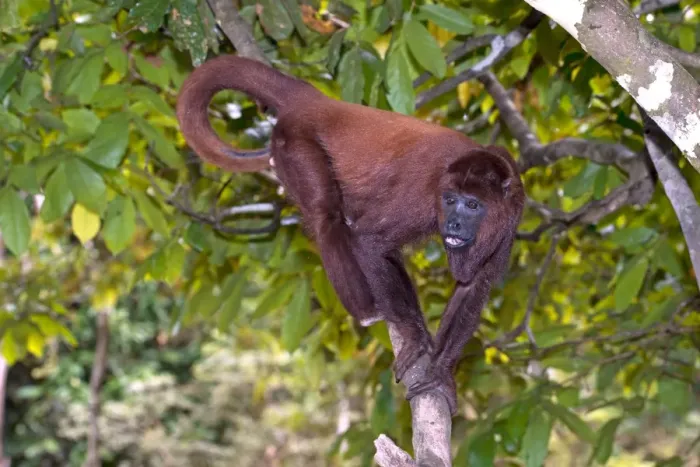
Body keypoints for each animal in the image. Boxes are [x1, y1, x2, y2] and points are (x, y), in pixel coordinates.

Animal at [176, 55, 525, 415]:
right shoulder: (424, 199)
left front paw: (441, 372)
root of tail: (319, 102)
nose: (453, 224)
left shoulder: (512, 217)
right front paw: (413, 337)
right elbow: (370, 241)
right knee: (327, 216)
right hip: (294, 144)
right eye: (450, 200)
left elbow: (472, 284)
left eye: (472, 205)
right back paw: (369, 312)